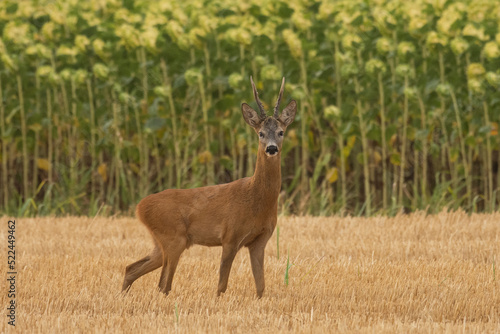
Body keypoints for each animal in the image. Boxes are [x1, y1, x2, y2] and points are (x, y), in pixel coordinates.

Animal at [123, 76, 296, 298]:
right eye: (261, 133)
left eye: (281, 132)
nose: (272, 148)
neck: (256, 199)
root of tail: (139, 207)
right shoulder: (230, 236)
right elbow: (221, 285)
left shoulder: (260, 240)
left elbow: (261, 287)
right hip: (173, 237)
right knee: (163, 284)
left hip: (162, 242)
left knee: (132, 268)